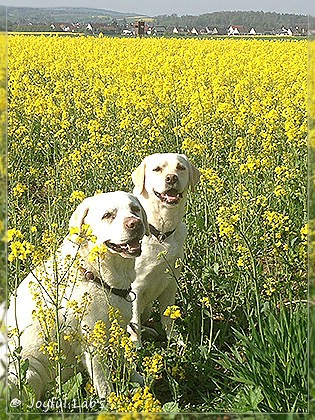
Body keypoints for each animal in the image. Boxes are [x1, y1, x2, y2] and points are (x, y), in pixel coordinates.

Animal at [7, 192, 149, 402]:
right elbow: (103, 383)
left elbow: (126, 361)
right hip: (28, 369)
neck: (93, 273)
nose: (135, 223)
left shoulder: (118, 329)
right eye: (108, 215)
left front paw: (138, 379)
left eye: (135, 209)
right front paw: (110, 403)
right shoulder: (93, 346)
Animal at [130, 153, 201, 346]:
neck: (160, 233)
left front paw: (176, 342)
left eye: (180, 168)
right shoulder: (134, 289)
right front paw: (137, 349)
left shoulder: (171, 282)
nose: (171, 178)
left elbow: (168, 317)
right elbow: (134, 324)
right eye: (157, 169)